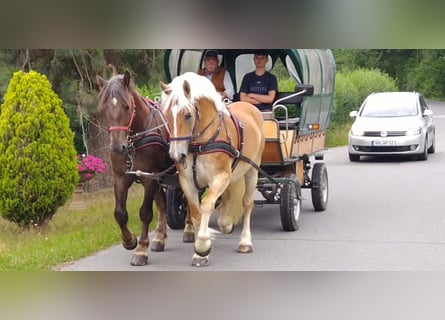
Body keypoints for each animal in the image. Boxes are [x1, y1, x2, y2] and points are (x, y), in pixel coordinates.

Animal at [95, 71, 193, 266]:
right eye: (104, 108)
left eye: (126, 107)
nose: (117, 147)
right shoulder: (121, 177)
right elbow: (120, 213)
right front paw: (129, 240)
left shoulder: (150, 178)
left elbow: (145, 213)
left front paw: (141, 249)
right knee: (162, 202)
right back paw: (160, 237)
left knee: (189, 197)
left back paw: (189, 229)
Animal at [160, 72, 264, 268]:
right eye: (166, 115)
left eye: (188, 115)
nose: (176, 155)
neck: (201, 143)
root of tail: (250, 107)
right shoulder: (186, 182)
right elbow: (196, 213)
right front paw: (200, 253)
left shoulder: (221, 177)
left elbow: (207, 204)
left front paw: (202, 245)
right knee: (229, 200)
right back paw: (226, 223)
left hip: (252, 169)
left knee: (247, 203)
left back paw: (245, 241)